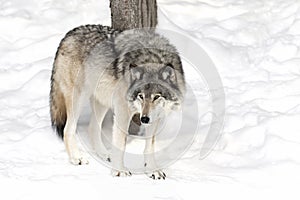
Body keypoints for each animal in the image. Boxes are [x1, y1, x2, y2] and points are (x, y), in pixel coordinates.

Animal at [49, 24, 185, 180]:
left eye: (156, 97)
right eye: (141, 96)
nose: (144, 119)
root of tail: (69, 34)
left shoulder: (155, 117)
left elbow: (149, 147)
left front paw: (153, 170)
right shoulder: (122, 112)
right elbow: (120, 144)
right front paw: (119, 171)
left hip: (102, 101)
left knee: (92, 128)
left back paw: (104, 154)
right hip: (78, 98)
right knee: (68, 129)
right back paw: (77, 158)